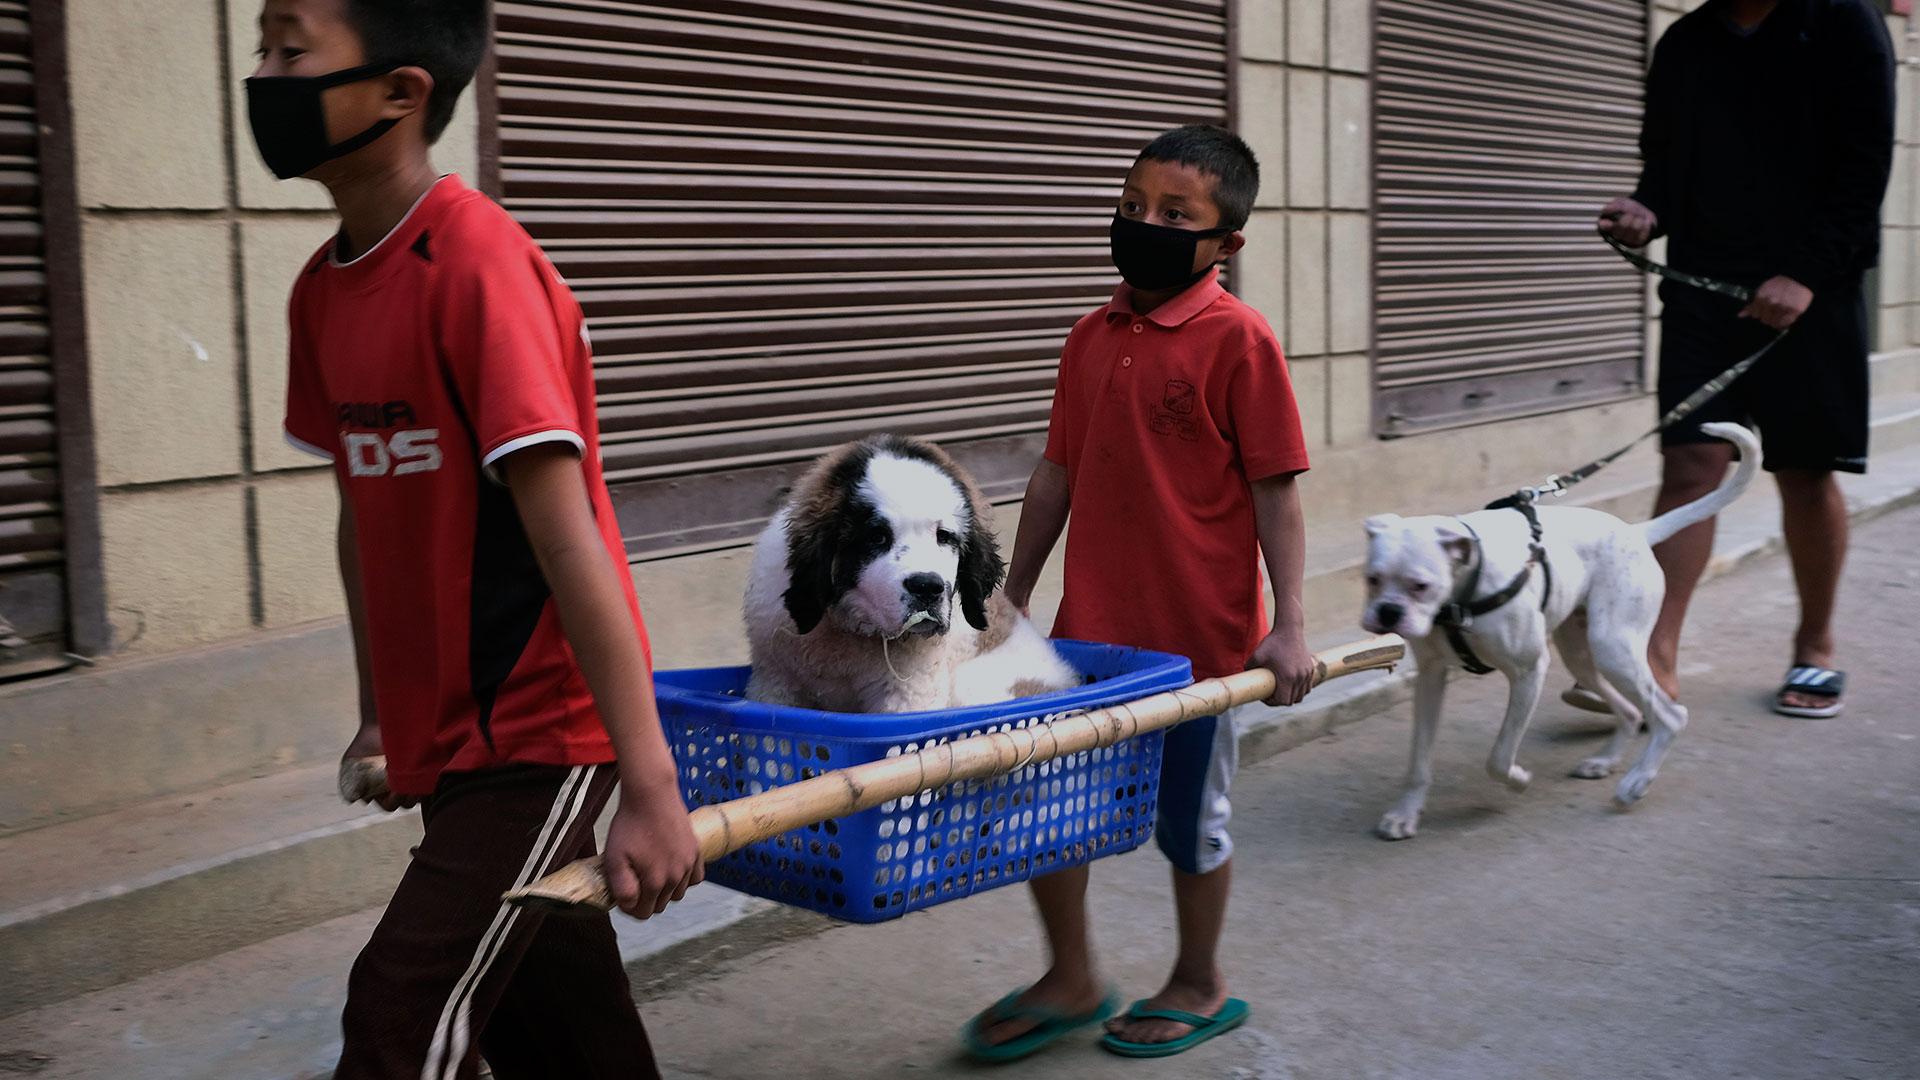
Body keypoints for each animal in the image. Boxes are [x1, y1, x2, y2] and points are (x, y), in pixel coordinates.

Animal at [741, 432, 1082, 711]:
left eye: (944, 537)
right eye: (877, 537)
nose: (928, 587)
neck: (849, 629)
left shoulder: (908, 694)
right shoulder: (775, 680)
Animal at [1359, 418, 1758, 834]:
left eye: (1420, 586)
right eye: (1371, 579)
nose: (1388, 612)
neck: (1464, 585)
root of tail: (1635, 531)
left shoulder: (1529, 672)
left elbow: (1499, 756)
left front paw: (1518, 779)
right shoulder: (1431, 679)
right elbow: (1418, 761)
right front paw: (1405, 814)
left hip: (1613, 650)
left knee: (1671, 717)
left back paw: (1635, 783)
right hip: (1582, 656)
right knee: (1631, 712)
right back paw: (1604, 762)